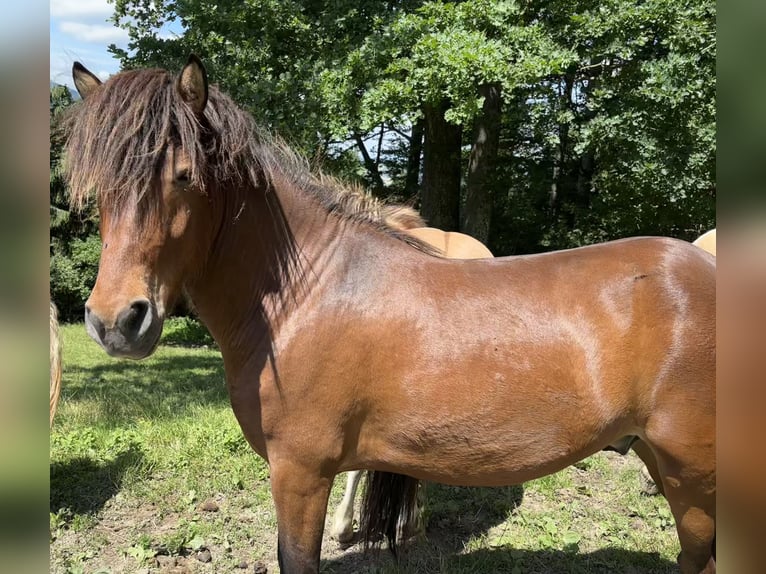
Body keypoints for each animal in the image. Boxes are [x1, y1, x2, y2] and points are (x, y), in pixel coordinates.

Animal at [63, 58, 716, 574]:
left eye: (184, 176)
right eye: (98, 188)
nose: (116, 321)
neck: (306, 294)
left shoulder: (300, 473)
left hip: (693, 476)